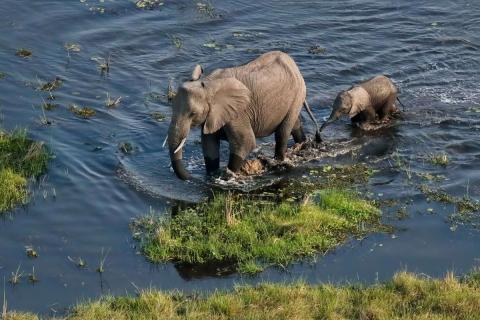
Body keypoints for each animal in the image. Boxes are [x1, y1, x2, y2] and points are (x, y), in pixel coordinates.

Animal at [167, 50, 320, 180]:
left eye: (192, 113)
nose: (191, 177)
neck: (209, 83)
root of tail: (293, 64)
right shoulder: (213, 115)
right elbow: (209, 145)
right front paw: (212, 176)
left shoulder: (238, 113)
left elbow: (245, 143)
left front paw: (227, 176)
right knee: (294, 125)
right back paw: (303, 145)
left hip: (298, 93)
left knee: (282, 133)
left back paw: (279, 161)